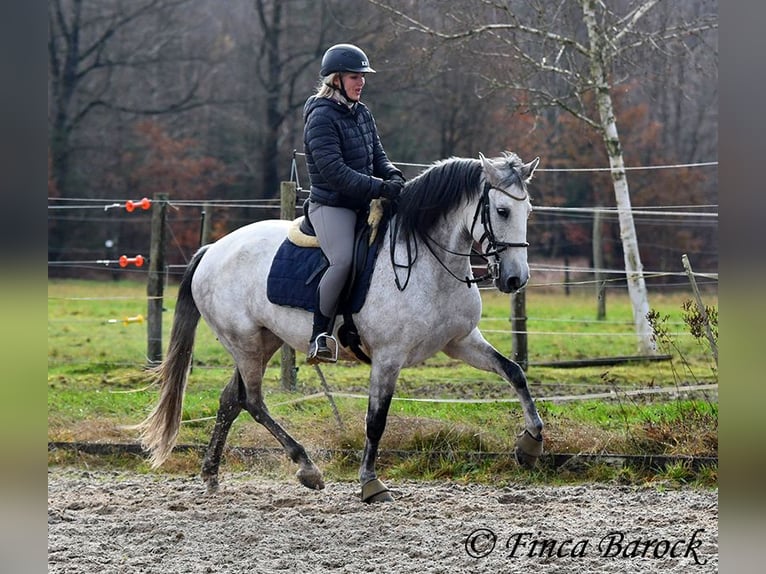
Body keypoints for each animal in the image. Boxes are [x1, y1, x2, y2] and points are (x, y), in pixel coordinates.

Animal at [136, 152, 544, 504]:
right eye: (502, 210)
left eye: (528, 211)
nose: (515, 278)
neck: (430, 262)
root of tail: (213, 250)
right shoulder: (388, 357)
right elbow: (375, 421)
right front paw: (370, 483)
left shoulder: (461, 342)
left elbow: (514, 372)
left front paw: (530, 444)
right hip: (245, 343)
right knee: (252, 401)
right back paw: (307, 468)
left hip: (262, 342)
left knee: (230, 400)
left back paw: (211, 474)